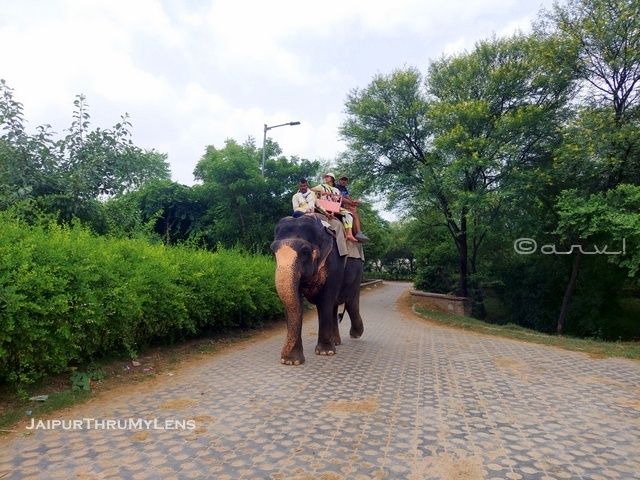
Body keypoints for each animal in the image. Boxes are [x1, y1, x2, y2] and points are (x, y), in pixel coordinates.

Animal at [271, 214, 365, 365]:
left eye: (305, 251)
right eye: (273, 252)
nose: (282, 353)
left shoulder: (333, 263)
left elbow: (325, 302)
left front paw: (325, 352)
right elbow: (295, 303)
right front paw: (291, 361)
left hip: (357, 273)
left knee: (351, 303)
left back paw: (355, 335)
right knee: (335, 306)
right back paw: (336, 342)